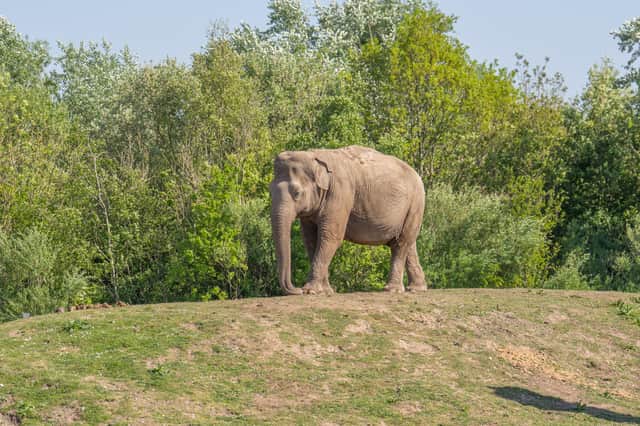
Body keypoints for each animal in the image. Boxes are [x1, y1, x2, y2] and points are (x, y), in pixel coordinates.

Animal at [270, 145, 427, 295]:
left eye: (297, 193)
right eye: (270, 192)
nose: (297, 290)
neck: (315, 156)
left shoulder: (340, 192)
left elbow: (330, 236)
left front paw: (311, 291)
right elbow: (310, 239)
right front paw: (325, 291)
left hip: (415, 204)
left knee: (400, 244)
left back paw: (392, 290)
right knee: (408, 243)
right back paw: (416, 288)